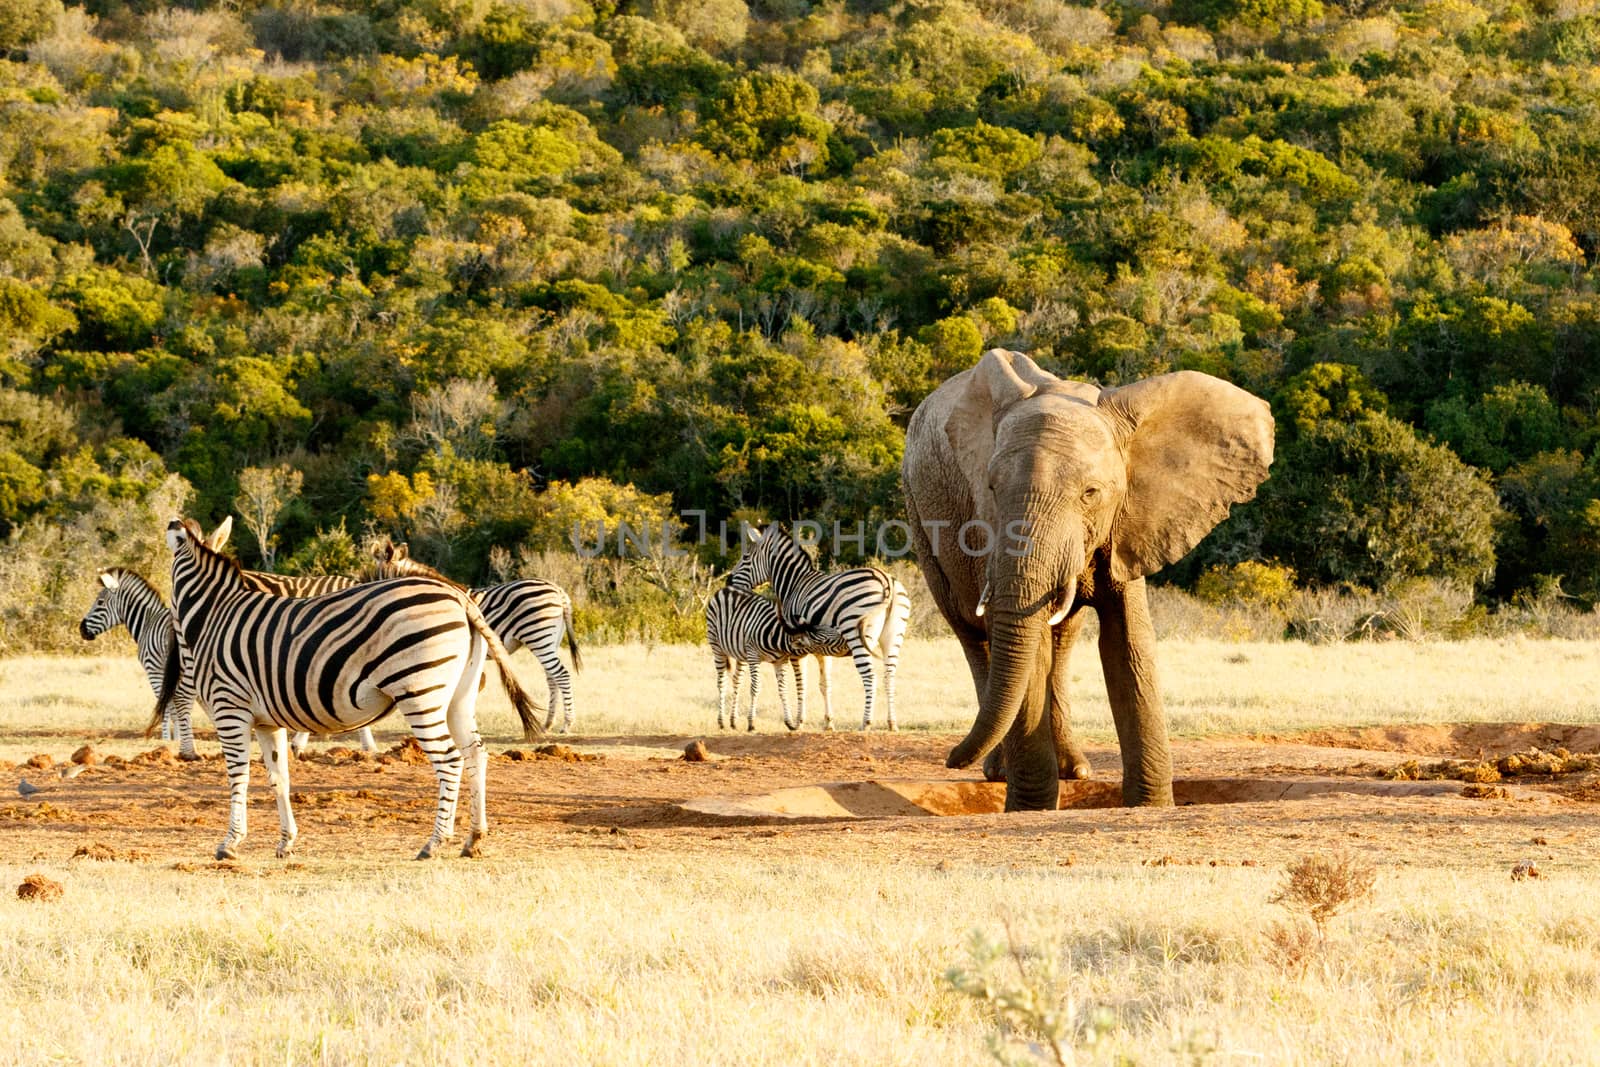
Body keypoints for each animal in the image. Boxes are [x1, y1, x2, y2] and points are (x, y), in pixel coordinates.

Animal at [156, 518, 544, 857]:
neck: (213, 615)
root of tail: (458, 597)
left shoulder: (230, 710)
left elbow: (239, 777)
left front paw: (230, 843)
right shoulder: (268, 721)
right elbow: (279, 778)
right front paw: (286, 842)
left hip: (420, 692)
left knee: (449, 759)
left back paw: (433, 844)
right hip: (457, 697)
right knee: (476, 753)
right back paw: (473, 839)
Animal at [368, 543, 582, 735]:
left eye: (378, 575)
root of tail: (558, 589)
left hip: (539, 636)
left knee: (561, 674)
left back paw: (567, 724)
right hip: (551, 639)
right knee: (552, 678)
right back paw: (548, 724)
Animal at [704, 585, 851, 735]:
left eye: (834, 629)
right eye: (826, 641)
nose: (850, 645)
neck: (776, 639)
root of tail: (725, 589)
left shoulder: (780, 661)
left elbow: (783, 689)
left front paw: (790, 723)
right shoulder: (753, 656)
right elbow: (755, 688)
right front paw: (751, 723)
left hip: (741, 654)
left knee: (736, 680)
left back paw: (733, 721)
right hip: (717, 647)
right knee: (721, 683)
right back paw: (721, 722)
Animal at [729, 527, 915, 735]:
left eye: (745, 557)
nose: (728, 579)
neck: (793, 584)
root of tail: (886, 579)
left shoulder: (795, 645)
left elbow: (801, 683)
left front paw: (799, 722)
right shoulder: (821, 648)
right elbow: (825, 684)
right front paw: (828, 723)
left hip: (857, 633)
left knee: (869, 675)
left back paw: (866, 723)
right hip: (893, 635)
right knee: (889, 676)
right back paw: (892, 723)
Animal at [902, 350, 1273, 809]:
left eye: (1090, 493)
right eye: (990, 488)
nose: (951, 759)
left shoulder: (1130, 519)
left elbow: (1127, 642)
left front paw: (1149, 806)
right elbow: (1030, 645)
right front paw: (1032, 810)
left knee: (1060, 638)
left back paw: (1073, 771)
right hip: (919, 515)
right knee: (975, 636)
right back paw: (1000, 772)